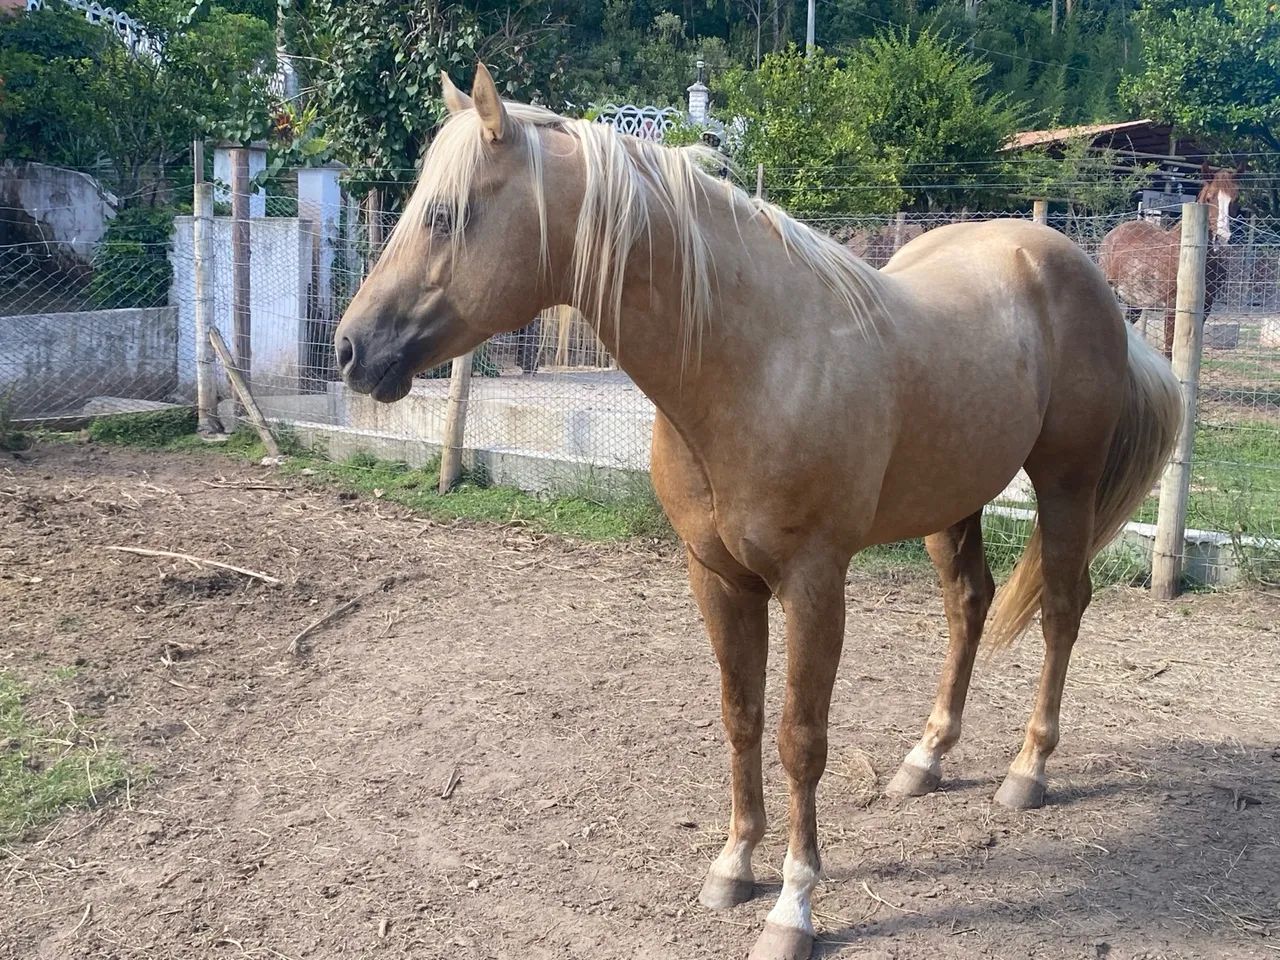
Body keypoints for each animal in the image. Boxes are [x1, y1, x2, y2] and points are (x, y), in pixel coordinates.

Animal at [333, 65, 1182, 960]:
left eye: (444, 215)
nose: (352, 349)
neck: (753, 362)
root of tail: (1067, 264)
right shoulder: (717, 577)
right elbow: (741, 718)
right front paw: (734, 864)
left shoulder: (813, 584)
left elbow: (798, 739)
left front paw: (794, 905)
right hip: (954, 501)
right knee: (970, 605)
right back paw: (925, 761)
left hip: (1064, 484)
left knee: (1061, 609)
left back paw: (1028, 771)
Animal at [1100, 161, 1243, 358]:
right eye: (1210, 198)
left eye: (1236, 199)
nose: (1222, 237)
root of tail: (1113, 234)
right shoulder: (1172, 308)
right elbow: (1169, 350)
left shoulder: (1205, 309)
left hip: (1133, 302)